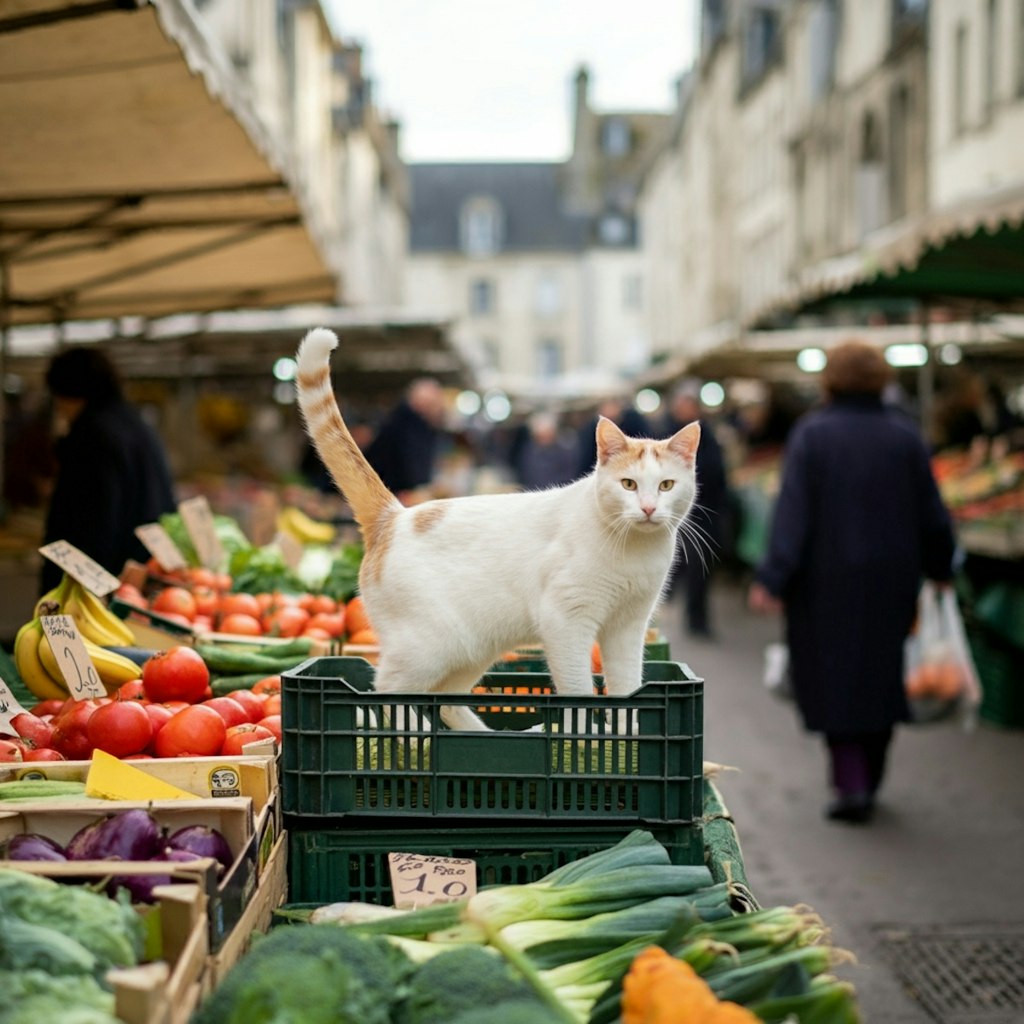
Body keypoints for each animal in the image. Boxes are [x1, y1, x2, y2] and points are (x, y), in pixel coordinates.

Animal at [292, 327, 700, 729]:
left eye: (666, 485)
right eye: (628, 484)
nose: (648, 508)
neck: (635, 549)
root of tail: (394, 516)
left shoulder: (628, 626)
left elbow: (628, 687)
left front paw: (624, 732)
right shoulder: (567, 622)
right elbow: (578, 692)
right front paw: (579, 736)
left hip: (473, 647)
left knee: (446, 701)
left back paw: (475, 737)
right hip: (428, 647)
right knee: (386, 692)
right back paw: (414, 739)